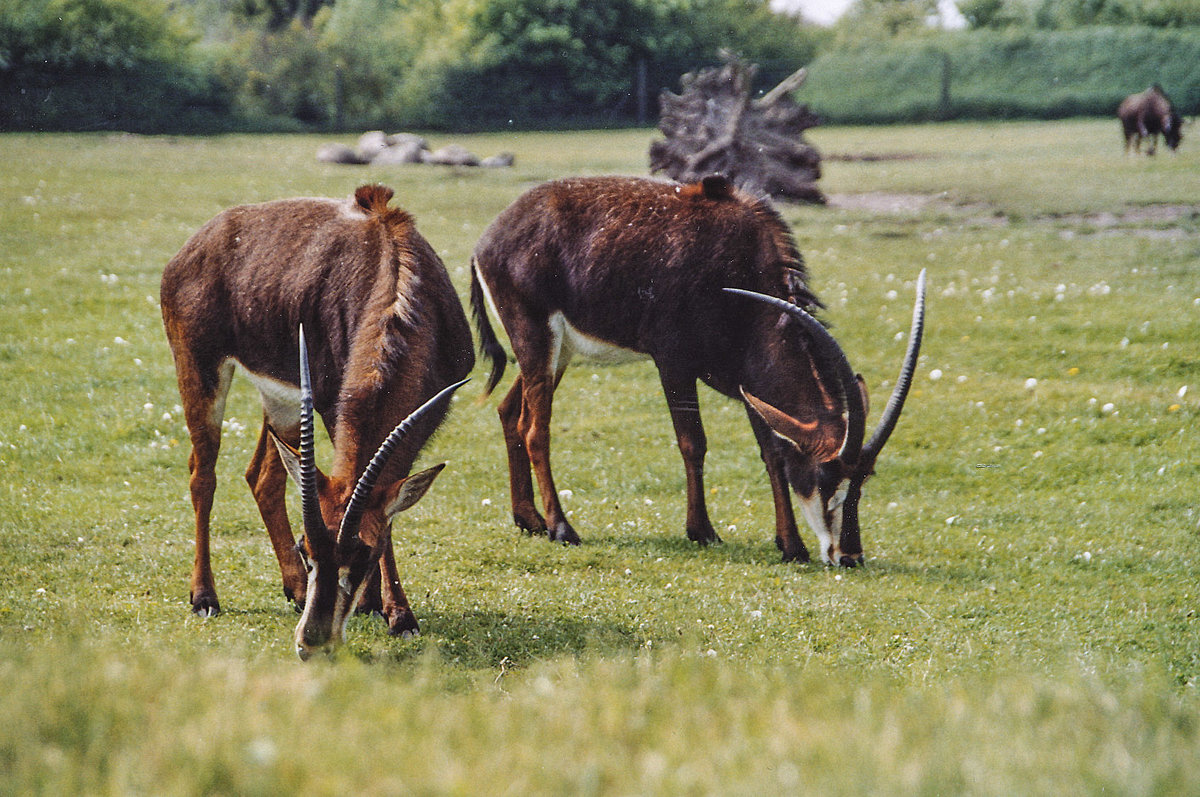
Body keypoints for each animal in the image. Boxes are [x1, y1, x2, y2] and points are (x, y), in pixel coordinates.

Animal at [158, 187, 472, 657]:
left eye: (364, 553)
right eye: (308, 549)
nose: (313, 641)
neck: (398, 285)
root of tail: (197, 244)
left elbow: (391, 511)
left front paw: (388, 610)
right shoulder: (328, 404)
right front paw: (396, 614)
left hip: (282, 400)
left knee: (263, 476)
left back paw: (293, 590)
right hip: (200, 370)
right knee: (203, 474)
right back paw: (205, 596)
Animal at [470, 174, 926, 564]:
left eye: (862, 480)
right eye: (828, 474)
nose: (849, 556)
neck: (739, 266)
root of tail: (489, 238)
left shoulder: (750, 384)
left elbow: (773, 452)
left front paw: (790, 545)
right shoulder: (673, 362)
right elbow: (694, 443)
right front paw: (702, 530)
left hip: (558, 353)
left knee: (511, 412)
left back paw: (529, 519)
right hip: (537, 339)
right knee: (536, 430)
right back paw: (562, 528)